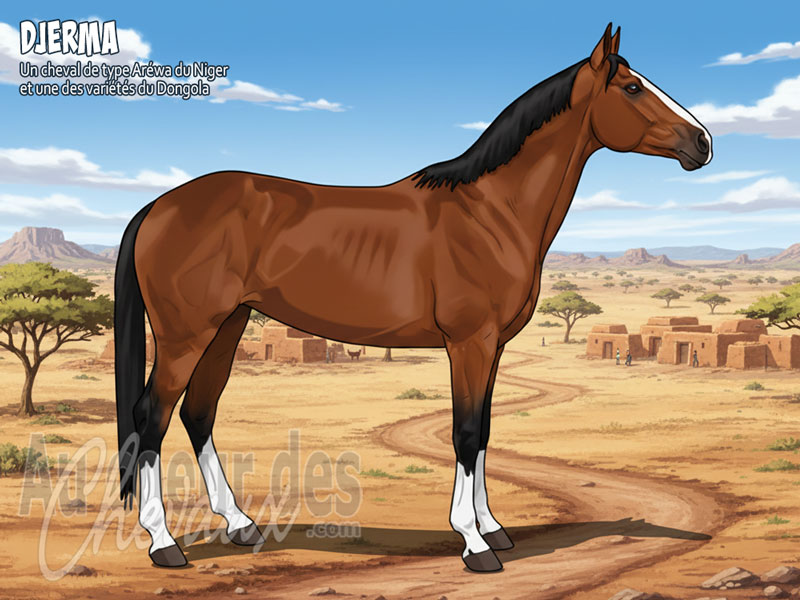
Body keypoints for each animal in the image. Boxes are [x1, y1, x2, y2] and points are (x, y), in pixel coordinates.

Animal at [115, 23, 712, 573]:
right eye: (632, 87)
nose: (703, 143)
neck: (490, 212)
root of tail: (158, 206)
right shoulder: (469, 343)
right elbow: (466, 434)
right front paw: (473, 544)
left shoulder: (492, 347)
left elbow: (485, 432)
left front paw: (494, 529)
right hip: (186, 335)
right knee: (153, 416)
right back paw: (164, 545)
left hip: (229, 325)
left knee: (198, 413)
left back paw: (240, 525)